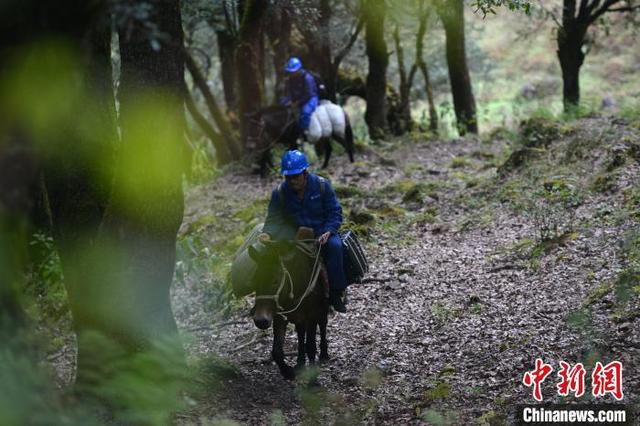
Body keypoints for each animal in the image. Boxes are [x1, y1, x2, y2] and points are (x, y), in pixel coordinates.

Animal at [248, 226, 330, 380]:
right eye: (255, 279)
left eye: (275, 280)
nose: (261, 320)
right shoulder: (279, 317)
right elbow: (276, 351)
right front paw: (288, 372)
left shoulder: (311, 316)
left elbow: (311, 346)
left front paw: (313, 380)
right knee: (300, 333)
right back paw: (300, 363)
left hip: (322, 309)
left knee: (323, 325)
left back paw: (324, 354)